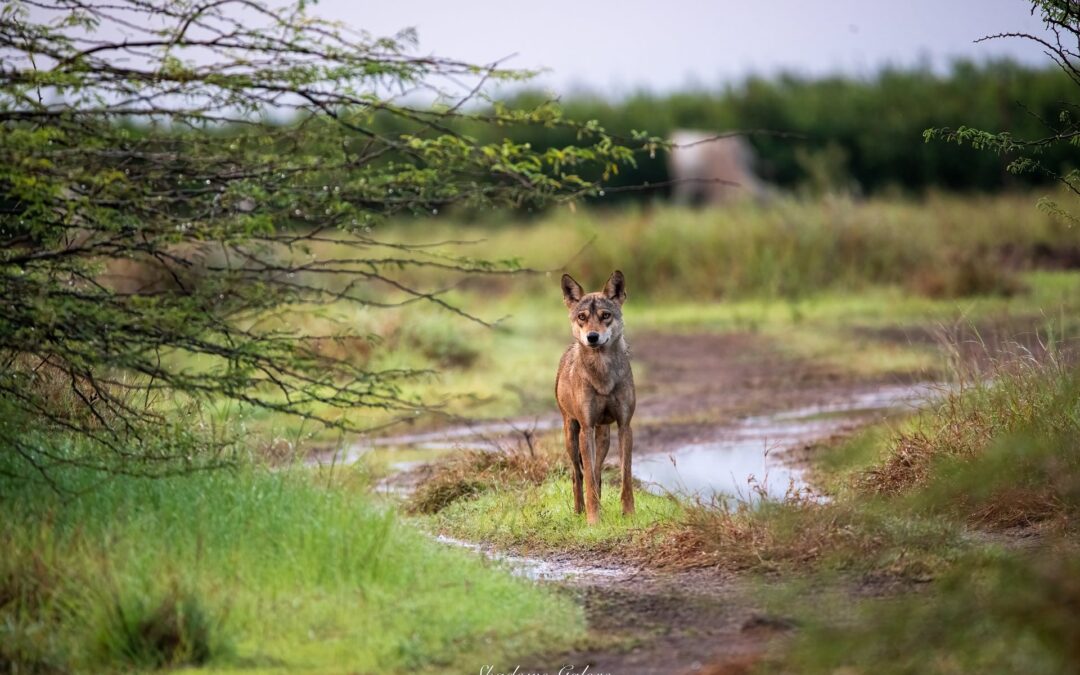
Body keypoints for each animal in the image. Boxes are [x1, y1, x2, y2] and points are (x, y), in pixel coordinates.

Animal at [555, 270, 635, 524]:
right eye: (582, 317)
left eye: (605, 316)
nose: (592, 337)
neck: (603, 373)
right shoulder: (586, 427)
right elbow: (587, 478)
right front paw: (593, 520)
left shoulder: (624, 426)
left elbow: (625, 477)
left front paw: (629, 514)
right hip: (572, 435)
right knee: (578, 475)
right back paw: (579, 510)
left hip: (604, 437)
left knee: (598, 471)